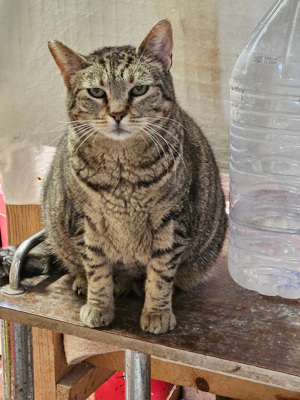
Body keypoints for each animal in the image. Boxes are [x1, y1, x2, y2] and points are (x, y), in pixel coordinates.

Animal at [0, 21, 226, 334]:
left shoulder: (173, 221)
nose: (118, 114)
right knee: (80, 266)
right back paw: (87, 283)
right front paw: (98, 306)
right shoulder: (87, 223)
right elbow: (97, 270)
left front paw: (156, 312)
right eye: (96, 92)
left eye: (139, 89)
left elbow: (161, 273)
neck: (122, 175)